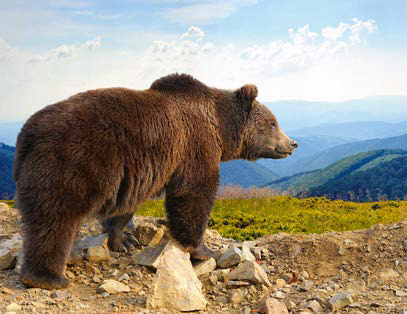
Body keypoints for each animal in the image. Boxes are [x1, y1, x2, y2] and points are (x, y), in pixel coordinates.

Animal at [14, 73, 298, 290]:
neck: (220, 127)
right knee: (56, 218)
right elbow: (193, 194)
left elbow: (125, 206)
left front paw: (123, 240)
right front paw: (203, 250)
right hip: (72, 161)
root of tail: (27, 133)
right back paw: (48, 277)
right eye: (273, 123)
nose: (292, 143)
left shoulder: (134, 173)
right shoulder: (194, 145)